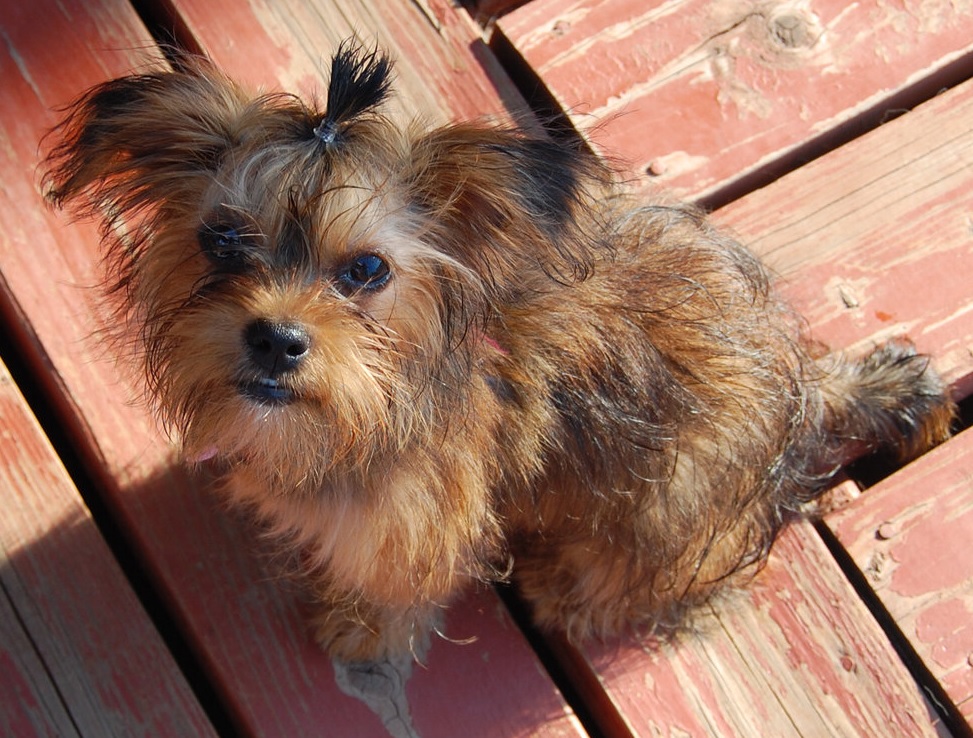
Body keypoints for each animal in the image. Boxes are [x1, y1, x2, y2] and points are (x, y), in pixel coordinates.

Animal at [44, 41, 954, 662]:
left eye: (366, 270)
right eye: (223, 239)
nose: (275, 336)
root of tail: (811, 387)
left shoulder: (416, 526)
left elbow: (397, 589)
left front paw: (359, 631)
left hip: (675, 493)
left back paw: (567, 589)